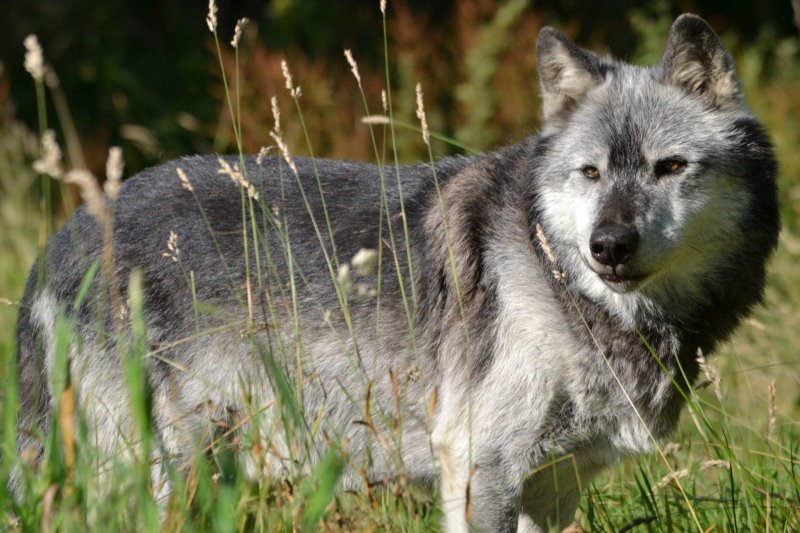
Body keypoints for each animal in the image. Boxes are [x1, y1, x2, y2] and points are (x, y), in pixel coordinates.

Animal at [12, 12, 780, 532]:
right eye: (590, 173)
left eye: (669, 167)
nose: (608, 246)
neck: (561, 280)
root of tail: (63, 239)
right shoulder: (480, 465)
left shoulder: (554, 484)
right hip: (153, 475)